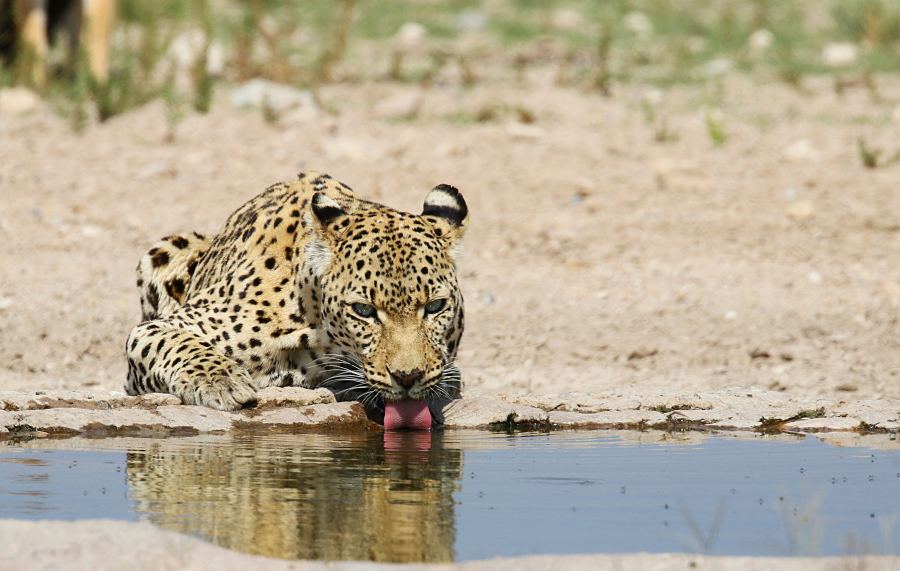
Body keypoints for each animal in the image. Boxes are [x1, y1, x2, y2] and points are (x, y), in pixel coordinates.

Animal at [125, 171, 472, 428]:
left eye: (435, 307)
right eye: (364, 311)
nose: (408, 377)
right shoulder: (159, 328)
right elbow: (176, 342)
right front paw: (222, 381)